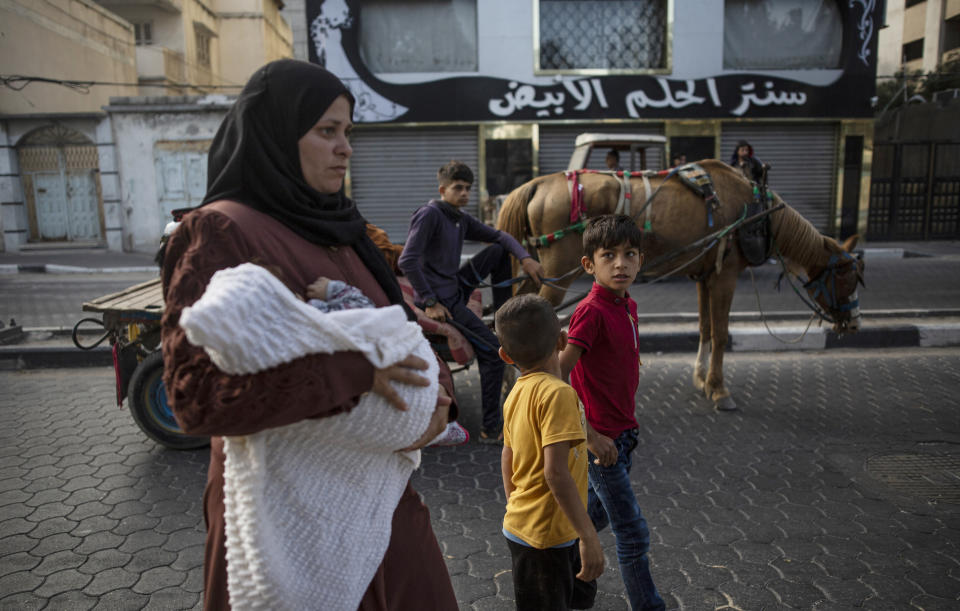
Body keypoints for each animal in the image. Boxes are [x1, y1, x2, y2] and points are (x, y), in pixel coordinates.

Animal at [496, 160, 864, 414]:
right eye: (847, 275)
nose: (854, 323)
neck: (757, 210)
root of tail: (538, 183)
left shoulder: (705, 275)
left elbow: (705, 327)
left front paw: (701, 379)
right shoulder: (726, 275)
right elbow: (721, 333)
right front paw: (719, 390)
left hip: (536, 269)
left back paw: (509, 383)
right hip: (558, 273)